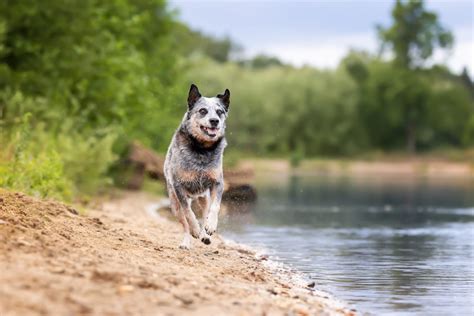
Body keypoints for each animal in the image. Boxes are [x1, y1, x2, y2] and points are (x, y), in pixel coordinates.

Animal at [164, 83, 231, 249]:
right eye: (203, 111)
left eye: (220, 112)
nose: (214, 121)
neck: (202, 150)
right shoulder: (179, 186)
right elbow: (188, 213)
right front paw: (194, 229)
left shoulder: (217, 183)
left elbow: (215, 207)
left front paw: (210, 227)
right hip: (174, 204)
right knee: (184, 223)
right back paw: (187, 241)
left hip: (203, 198)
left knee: (205, 213)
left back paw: (205, 235)